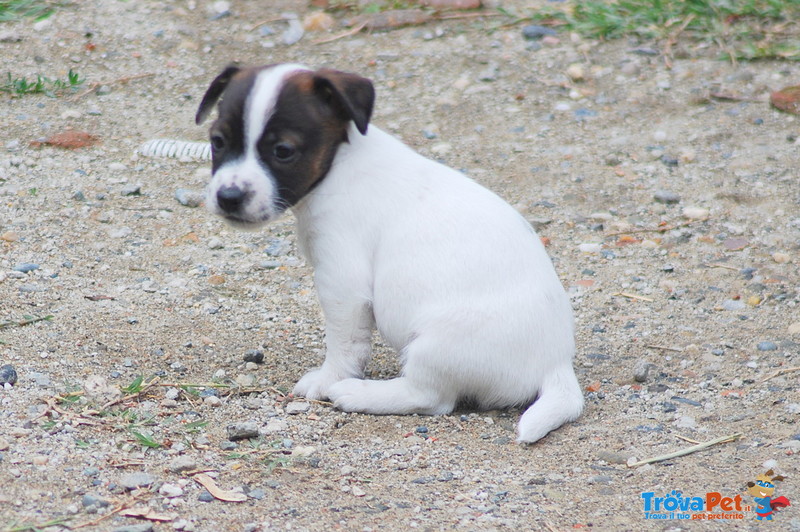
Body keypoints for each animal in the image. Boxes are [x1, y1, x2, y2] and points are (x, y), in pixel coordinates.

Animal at [194, 63, 580, 444]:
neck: (341, 162)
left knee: (430, 397)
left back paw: (357, 393)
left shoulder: (342, 283)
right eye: (218, 141)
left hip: (435, 345)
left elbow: (345, 344)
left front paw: (329, 379)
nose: (229, 197)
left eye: (283, 151)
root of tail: (556, 366)